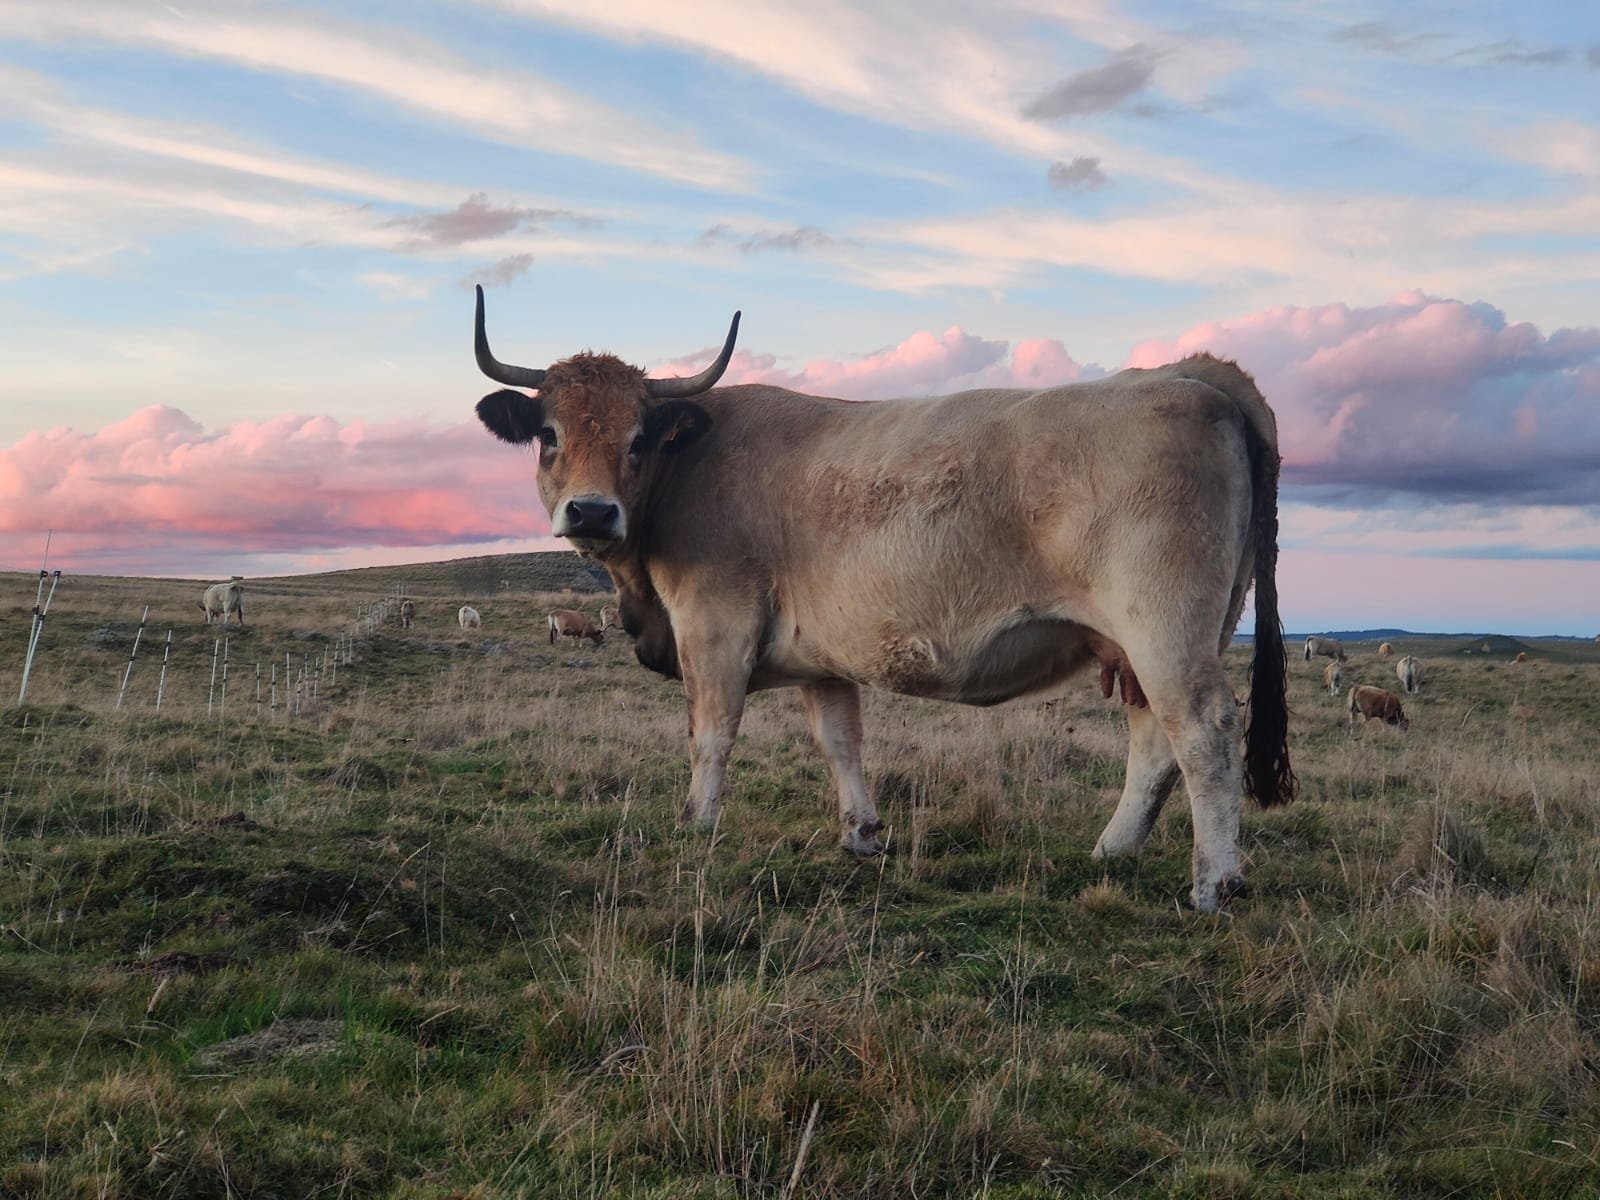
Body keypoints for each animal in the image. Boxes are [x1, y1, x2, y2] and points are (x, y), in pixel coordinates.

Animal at [471, 287, 1295, 912]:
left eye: (639, 437)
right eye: (548, 434)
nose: (591, 512)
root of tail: (1187, 375)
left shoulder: (713, 625)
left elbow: (711, 732)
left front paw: (695, 826)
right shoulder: (820, 654)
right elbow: (840, 740)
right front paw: (861, 835)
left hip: (1165, 627)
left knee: (1202, 729)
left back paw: (1215, 883)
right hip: (1142, 640)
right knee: (1154, 740)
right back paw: (1110, 852)